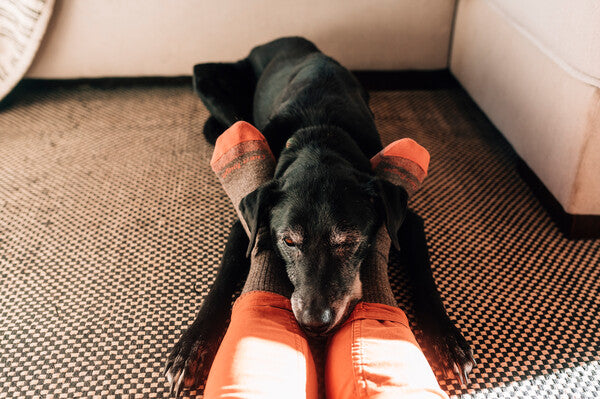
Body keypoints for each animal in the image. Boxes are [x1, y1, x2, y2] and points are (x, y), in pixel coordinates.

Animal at [164, 36, 474, 396]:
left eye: (350, 241)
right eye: (288, 241)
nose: (314, 323)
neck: (319, 135)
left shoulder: (406, 220)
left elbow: (425, 278)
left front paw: (448, 339)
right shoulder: (247, 220)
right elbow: (222, 278)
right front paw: (193, 345)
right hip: (207, 77)